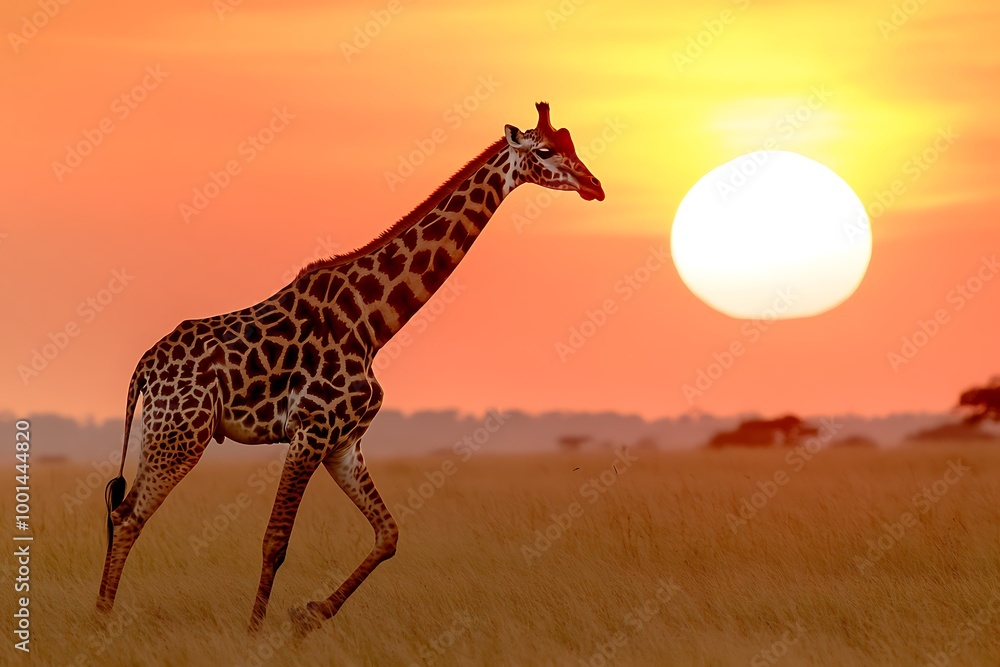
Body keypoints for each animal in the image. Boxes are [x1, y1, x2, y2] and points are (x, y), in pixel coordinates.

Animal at [97, 102, 605, 636]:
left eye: (571, 143)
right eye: (544, 151)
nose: (594, 185)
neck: (373, 324)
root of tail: (143, 369)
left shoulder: (343, 443)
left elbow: (389, 534)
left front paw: (309, 614)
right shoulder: (310, 432)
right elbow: (275, 540)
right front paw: (255, 633)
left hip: (172, 434)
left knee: (122, 511)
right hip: (180, 434)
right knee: (128, 514)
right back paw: (101, 623)